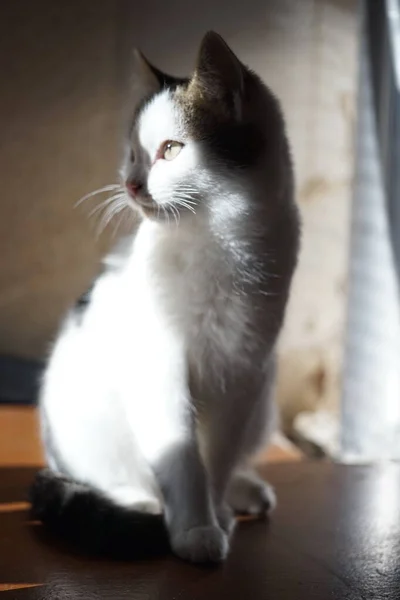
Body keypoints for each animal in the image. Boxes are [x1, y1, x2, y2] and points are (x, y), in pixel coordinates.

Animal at [31, 30, 300, 564]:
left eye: (172, 150)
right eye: (134, 152)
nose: (130, 184)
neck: (217, 242)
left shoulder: (243, 370)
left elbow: (217, 458)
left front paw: (214, 513)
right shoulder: (158, 369)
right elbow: (182, 456)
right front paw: (196, 529)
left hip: (263, 398)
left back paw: (243, 493)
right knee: (109, 478)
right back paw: (140, 502)